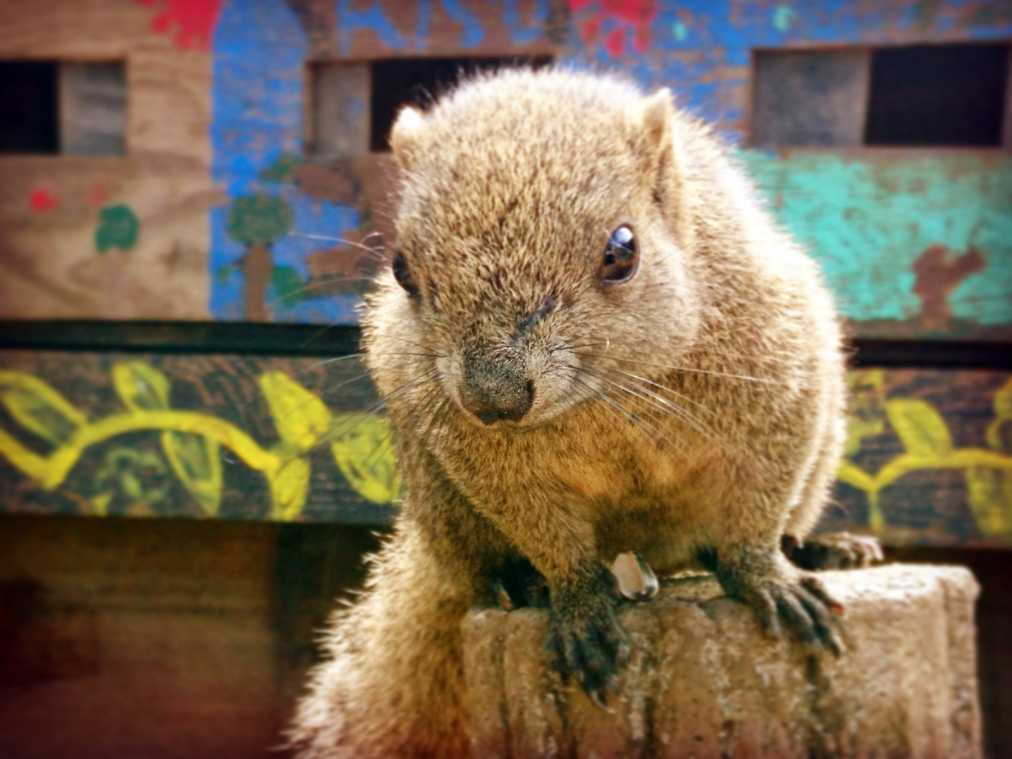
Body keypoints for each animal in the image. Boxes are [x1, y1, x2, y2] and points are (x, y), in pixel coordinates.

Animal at [289, 68, 882, 756]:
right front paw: (578, 606)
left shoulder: (781, 389)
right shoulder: (494, 466)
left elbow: (755, 514)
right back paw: (518, 584)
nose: (494, 401)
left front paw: (768, 579)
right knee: (475, 574)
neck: (603, 400)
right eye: (401, 269)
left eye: (622, 251)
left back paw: (827, 551)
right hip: (437, 490)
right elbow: (552, 538)